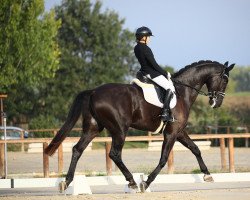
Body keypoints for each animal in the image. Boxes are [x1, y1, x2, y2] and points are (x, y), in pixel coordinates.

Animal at [45, 60, 234, 192]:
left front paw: (207, 175)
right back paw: (132, 182)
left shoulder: (179, 131)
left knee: (78, 149)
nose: (217, 103)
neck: (182, 92)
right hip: (120, 130)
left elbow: (196, 149)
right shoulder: (171, 133)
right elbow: (164, 158)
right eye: (225, 80)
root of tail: (93, 91)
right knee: (114, 154)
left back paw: (66, 182)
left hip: (93, 128)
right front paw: (146, 182)